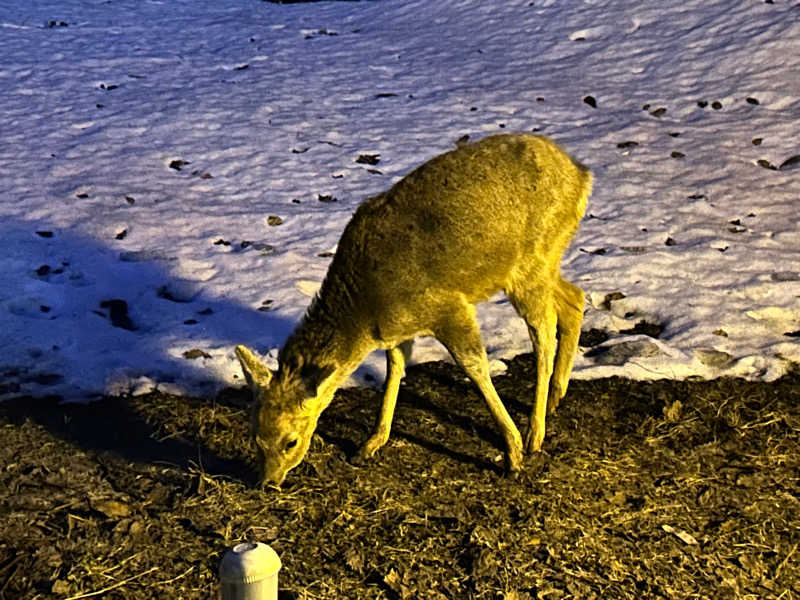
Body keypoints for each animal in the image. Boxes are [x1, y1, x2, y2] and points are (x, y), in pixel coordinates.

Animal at [234, 134, 592, 486]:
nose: (267, 482)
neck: (366, 312)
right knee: (575, 297)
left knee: (543, 331)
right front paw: (371, 443)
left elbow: (475, 367)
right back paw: (556, 396)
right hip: (542, 263)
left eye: (290, 441)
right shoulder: (396, 329)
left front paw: (512, 452)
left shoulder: (449, 307)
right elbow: (395, 368)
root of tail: (581, 175)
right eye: (254, 435)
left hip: (530, 261)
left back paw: (534, 434)